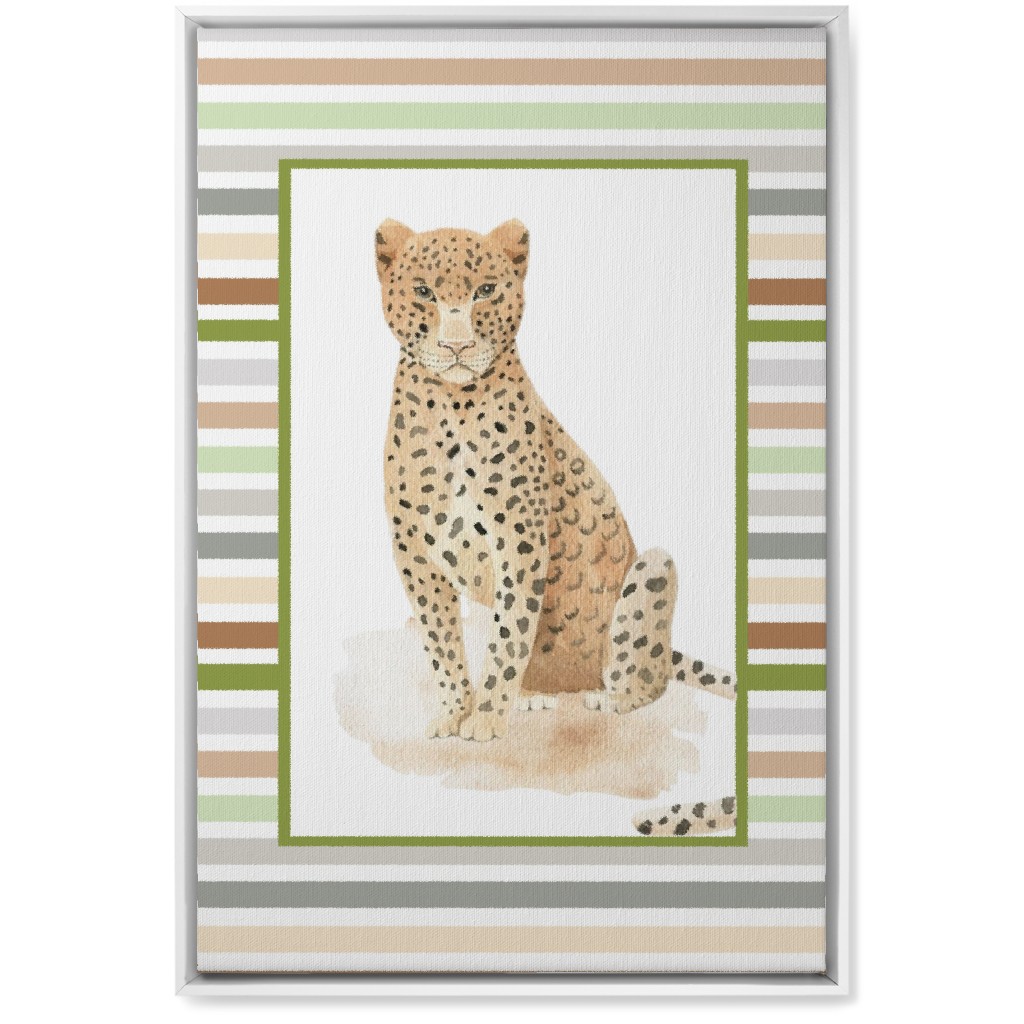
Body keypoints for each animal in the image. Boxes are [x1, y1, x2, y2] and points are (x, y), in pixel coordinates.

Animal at [375, 218, 737, 836]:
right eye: (423, 292)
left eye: (486, 292)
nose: (456, 345)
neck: (450, 405)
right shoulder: (415, 553)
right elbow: (442, 641)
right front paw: (453, 712)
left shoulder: (519, 543)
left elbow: (509, 634)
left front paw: (485, 716)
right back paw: (534, 695)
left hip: (653, 565)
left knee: (645, 676)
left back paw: (605, 698)